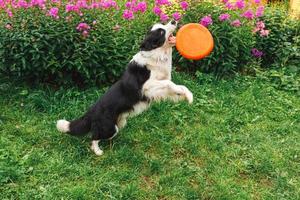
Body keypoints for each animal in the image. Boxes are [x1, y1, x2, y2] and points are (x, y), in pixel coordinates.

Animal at [56, 20, 192, 155]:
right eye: (161, 32)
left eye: (162, 25)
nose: (173, 20)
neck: (155, 54)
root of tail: (91, 112)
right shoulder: (146, 87)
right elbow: (169, 84)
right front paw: (184, 94)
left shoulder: (159, 87)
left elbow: (177, 86)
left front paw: (188, 96)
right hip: (110, 128)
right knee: (94, 136)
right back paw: (98, 151)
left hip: (119, 122)